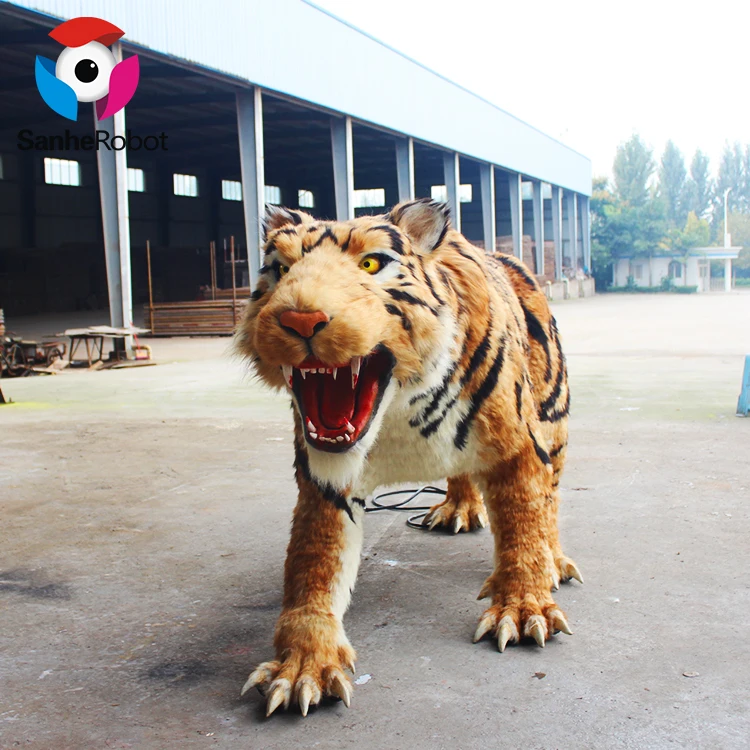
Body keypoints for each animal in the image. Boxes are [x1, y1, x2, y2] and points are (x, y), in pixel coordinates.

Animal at [235, 198, 582, 717]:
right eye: (279, 268)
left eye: (371, 263)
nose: (300, 320)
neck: (400, 410)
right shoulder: (325, 482)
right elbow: (314, 566)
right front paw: (302, 667)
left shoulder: (517, 446)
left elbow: (525, 522)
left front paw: (524, 609)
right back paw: (458, 509)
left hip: (553, 423)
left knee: (551, 500)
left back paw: (555, 561)